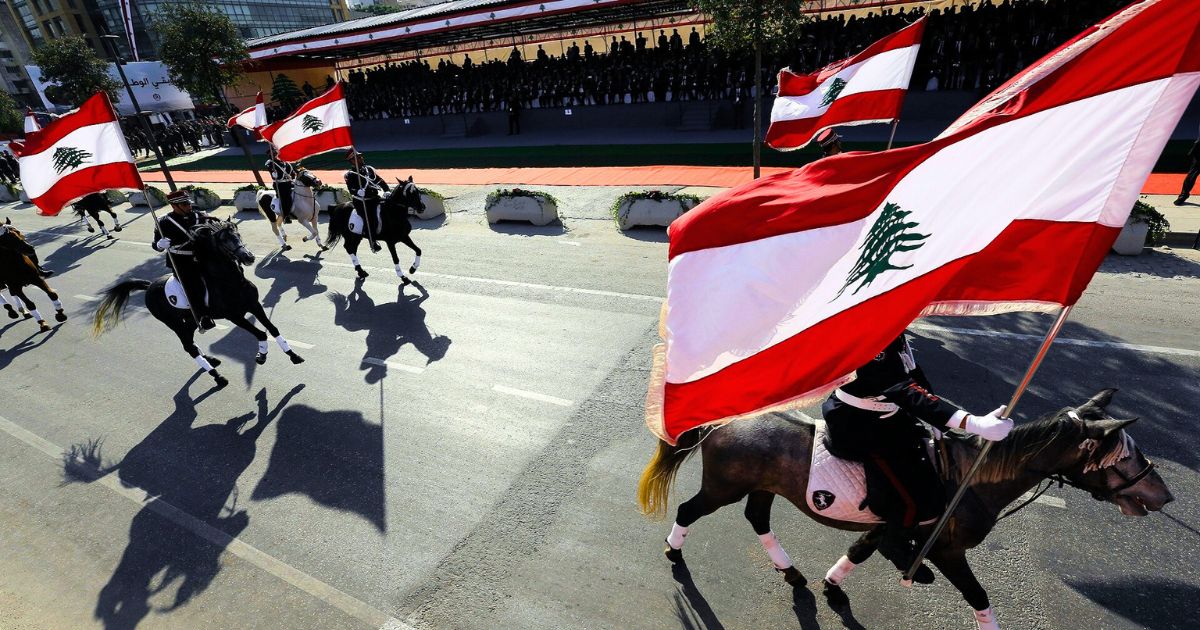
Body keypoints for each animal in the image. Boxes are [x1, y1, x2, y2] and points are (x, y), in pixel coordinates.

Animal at [93, 220, 304, 388]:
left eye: (238, 235)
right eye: (224, 240)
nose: (249, 257)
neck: (230, 281)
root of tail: (149, 286)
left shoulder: (254, 306)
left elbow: (272, 329)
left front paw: (293, 355)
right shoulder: (234, 316)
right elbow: (261, 333)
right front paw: (261, 356)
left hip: (191, 319)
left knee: (190, 340)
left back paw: (210, 360)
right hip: (173, 323)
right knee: (188, 346)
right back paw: (217, 377)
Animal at [638, 388, 1171, 628]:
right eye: (1125, 455)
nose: (1163, 496)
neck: (970, 476)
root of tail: (724, 419)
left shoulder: (891, 522)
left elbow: (861, 549)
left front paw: (833, 586)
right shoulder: (946, 549)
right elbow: (977, 594)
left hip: (761, 486)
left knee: (758, 519)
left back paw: (790, 572)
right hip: (723, 486)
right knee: (689, 509)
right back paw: (673, 551)